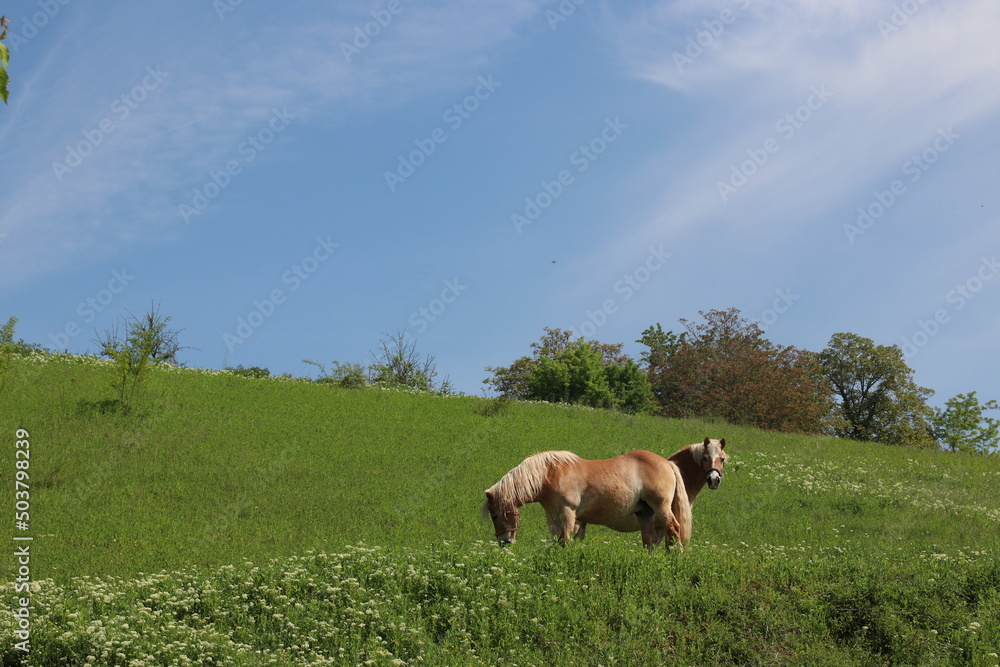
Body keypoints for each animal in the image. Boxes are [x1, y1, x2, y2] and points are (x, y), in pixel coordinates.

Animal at [478, 436, 728, 552]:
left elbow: (565, 541)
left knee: (673, 530)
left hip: (661, 508)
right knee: (649, 542)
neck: (551, 474)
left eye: (495, 515)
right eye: (705, 458)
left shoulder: (568, 514)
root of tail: (667, 464)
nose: (504, 542)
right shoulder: (556, 517)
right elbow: (559, 540)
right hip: (645, 515)